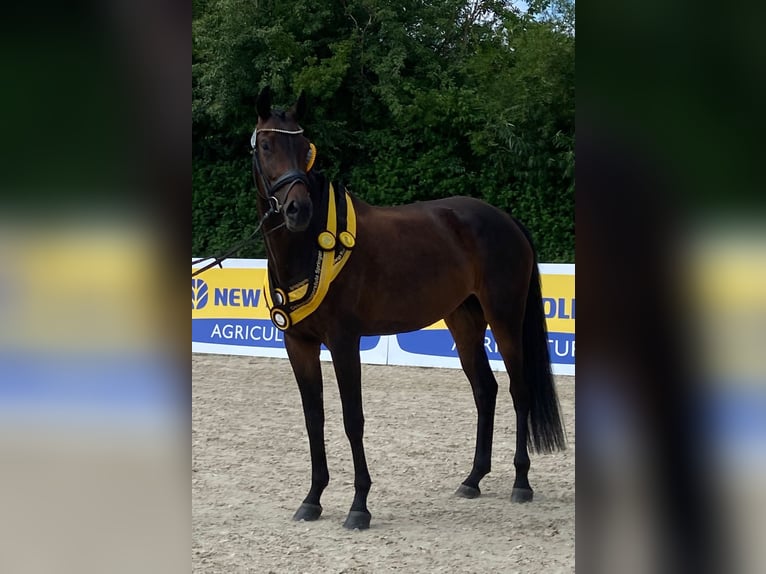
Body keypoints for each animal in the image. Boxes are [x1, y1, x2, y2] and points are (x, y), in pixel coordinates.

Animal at [250, 88, 564, 532]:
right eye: (266, 145)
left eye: (304, 146)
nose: (297, 210)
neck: (310, 247)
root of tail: (506, 220)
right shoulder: (299, 344)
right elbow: (315, 419)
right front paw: (312, 500)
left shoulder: (344, 342)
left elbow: (352, 419)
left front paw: (359, 506)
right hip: (463, 321)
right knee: (485, 389)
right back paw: (472, 480)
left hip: (504, 319)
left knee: (519, 391)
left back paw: (521, 483)